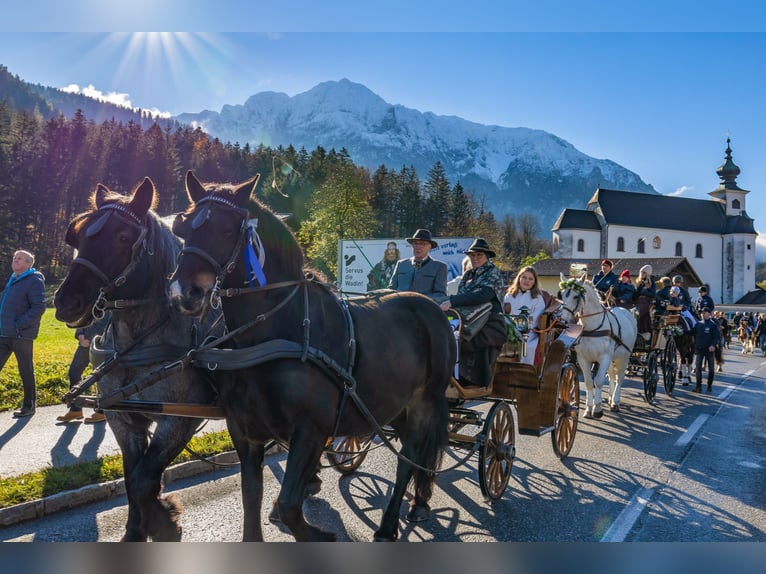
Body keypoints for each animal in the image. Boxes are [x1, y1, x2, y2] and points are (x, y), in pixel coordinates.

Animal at [53, 178, 222, 544]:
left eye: (122, 237)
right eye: (80, 236)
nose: (66, 302)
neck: (138, 346)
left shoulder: (179, 419)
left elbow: (144, 480)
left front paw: (164, 522)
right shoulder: (123, 418)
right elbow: (132, 479)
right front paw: (137, 530)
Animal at [168, 171, 456, 544]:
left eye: (229, 229)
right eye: (183, 227)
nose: (183, 294)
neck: (278, 332)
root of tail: (433, 307)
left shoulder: (310, 430)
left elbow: (290, 503)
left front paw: (319, 533)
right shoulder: (244, 432)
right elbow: (251, 497)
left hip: (424, 403)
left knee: (409, 458)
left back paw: (389, 525)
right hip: (396, 408)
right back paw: (416, 504)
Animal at [560, 276, 640, 418]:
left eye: (576, 296)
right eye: (562, 294)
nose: (563, 320)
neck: (593, 326)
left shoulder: (604, 358)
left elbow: (598, 381)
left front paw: (597, 409)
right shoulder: (583, 359)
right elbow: (588, 382)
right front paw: (588, 409)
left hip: (624, 357)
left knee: (619, 377)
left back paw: (615, 402)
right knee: (612, 375)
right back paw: (610, 398)